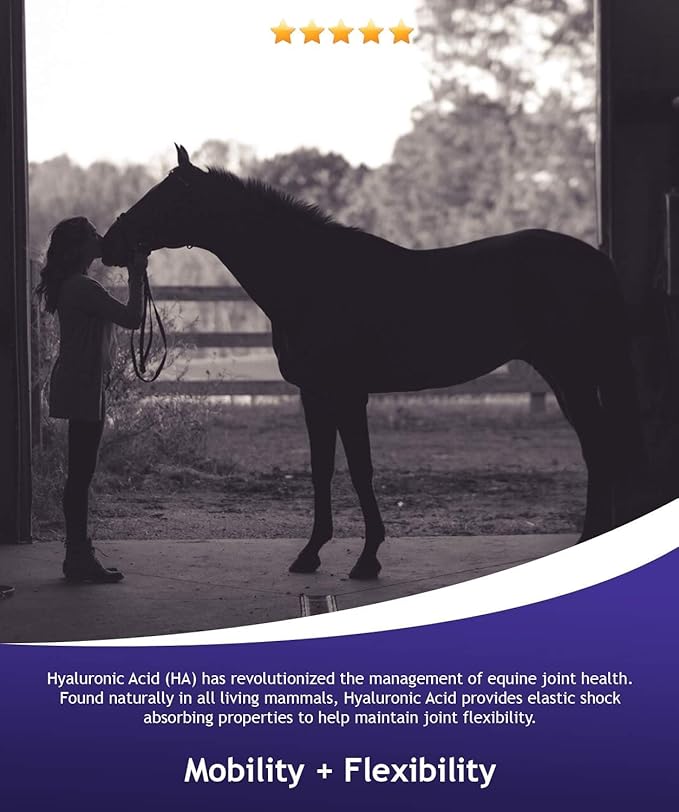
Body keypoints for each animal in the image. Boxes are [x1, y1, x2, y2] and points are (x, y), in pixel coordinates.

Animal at [101, 144, 645, 580]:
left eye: (164, 197)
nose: (109, 244)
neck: (312, 278)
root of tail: (596, 259)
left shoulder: (348, 393)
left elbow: (360, 470)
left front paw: (367, 560)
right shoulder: (314, 394)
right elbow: (322, 470)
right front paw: (311, 554)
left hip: (573, 374)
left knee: (600, 448)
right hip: (567, 376)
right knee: (600, 447)